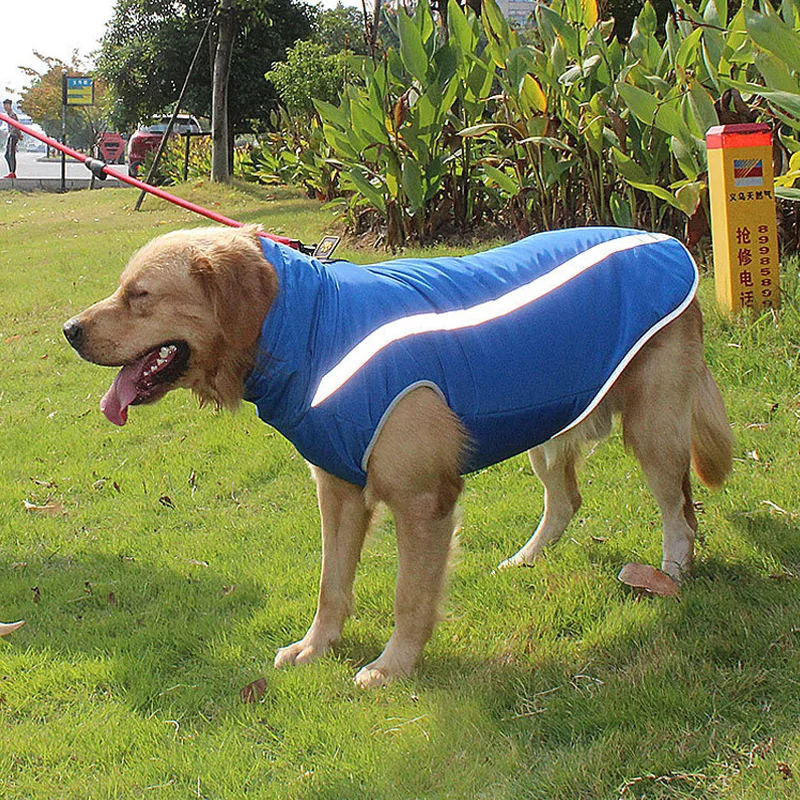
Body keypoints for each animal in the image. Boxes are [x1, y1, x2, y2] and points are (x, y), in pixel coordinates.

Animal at [65, 225, 736, 688]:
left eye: (140, 295)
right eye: (122, 289)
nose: (69, 330)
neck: (309, 326)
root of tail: (663, 238)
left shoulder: (422, 499)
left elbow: (409, 598)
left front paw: (392, 667)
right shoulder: (337, 489)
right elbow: (331, 585)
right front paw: (316, 648)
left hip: (652, 429)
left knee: (682, 512)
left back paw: (670, 575)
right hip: (550, 421)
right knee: (568, 498)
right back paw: (526, 559)